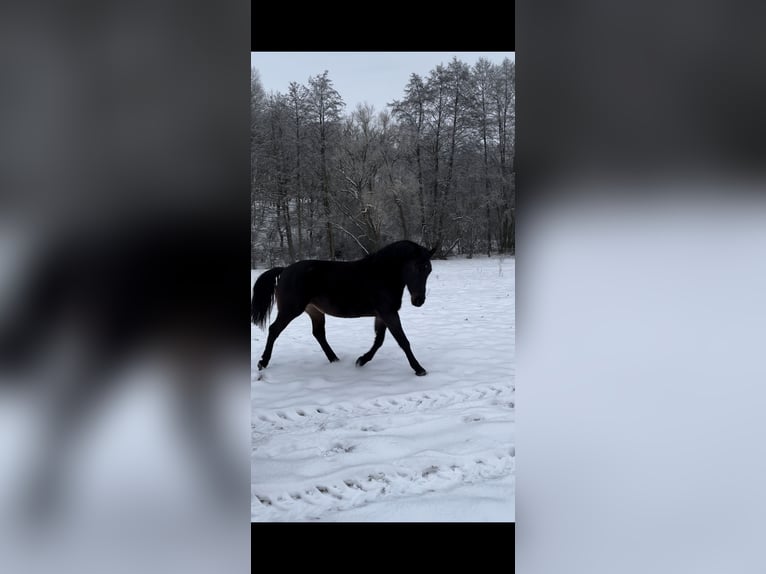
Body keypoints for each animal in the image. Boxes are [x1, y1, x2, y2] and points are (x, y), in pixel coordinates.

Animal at [251, 240, 436, 376]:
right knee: (274, 330)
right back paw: (262, 362)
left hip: (314, 311)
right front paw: (419, 369)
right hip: (290, 310)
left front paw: (361, 360)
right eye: (415, 267)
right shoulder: (388, 313)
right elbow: (402, 341)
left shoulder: (382, 314)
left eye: (429, 270)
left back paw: (334, 359)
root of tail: (284, 270)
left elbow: (379, 340)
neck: (382, 274)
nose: (419, 300)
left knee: (318, 333)